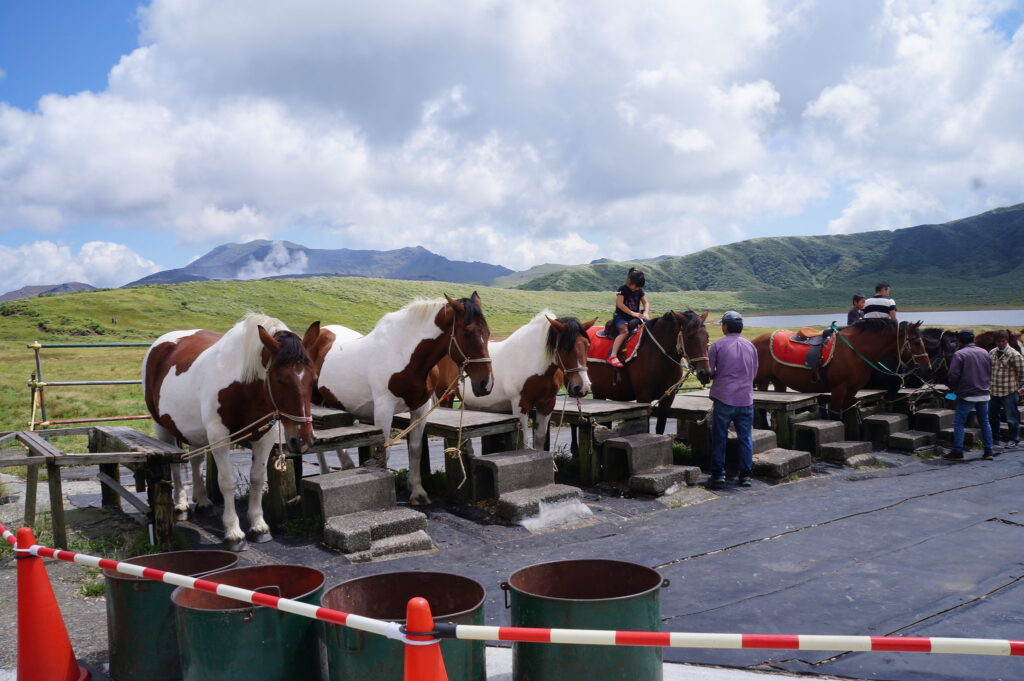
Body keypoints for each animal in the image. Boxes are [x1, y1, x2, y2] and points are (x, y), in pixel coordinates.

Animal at [143, 313, 319, 552]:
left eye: (314, 378)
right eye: (280, 380)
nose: (302, 440)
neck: (244, 387)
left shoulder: (264, 438)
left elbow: (257, 478)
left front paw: (258, 526)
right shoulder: (219, 438)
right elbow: (227, 482)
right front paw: (234, 533)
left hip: (194, 431)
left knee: (196, 460)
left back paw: (203, 501)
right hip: (162, 427)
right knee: (175, 466)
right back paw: (180, 505)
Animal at [309, 292, 493, 503]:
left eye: (488, 333)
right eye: (466, 333)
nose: (486, 384)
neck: (404, 354)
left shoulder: (420, 408)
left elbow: (415, 449)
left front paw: (417, 491)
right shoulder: (384, 409)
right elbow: (385, 452)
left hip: (336, 403)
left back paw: (346, 464)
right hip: (314, 402)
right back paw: (326, 471)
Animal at [430, 311, 593, 448]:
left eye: (587, 346)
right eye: (565, 347)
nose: (583, 387)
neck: (533, 360)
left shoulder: (547, 404)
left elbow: (539, 441)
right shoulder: (520, 405)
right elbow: (525, 443)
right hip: (444, 396)